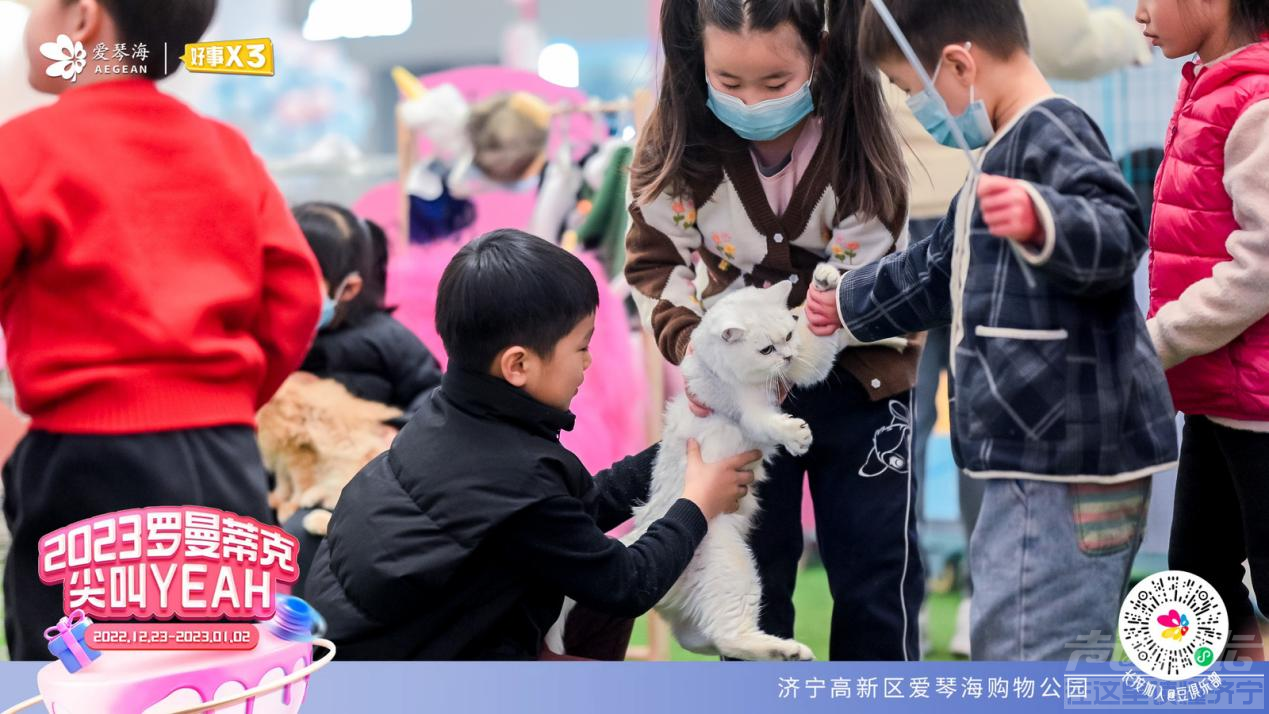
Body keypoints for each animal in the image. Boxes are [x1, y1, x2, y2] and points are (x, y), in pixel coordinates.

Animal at [545, 265, 903, 664]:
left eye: (788, 336)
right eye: (766, 349)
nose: (786, 357)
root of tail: (637, 539)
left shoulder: (805, 363)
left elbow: (817, 341)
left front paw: (824, 283)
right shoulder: (748, 411)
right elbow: (769, 422)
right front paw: (796, 435)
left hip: (697, 608)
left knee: (701, 636)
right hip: (733, 565)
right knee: (730, 635)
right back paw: (788, 650)